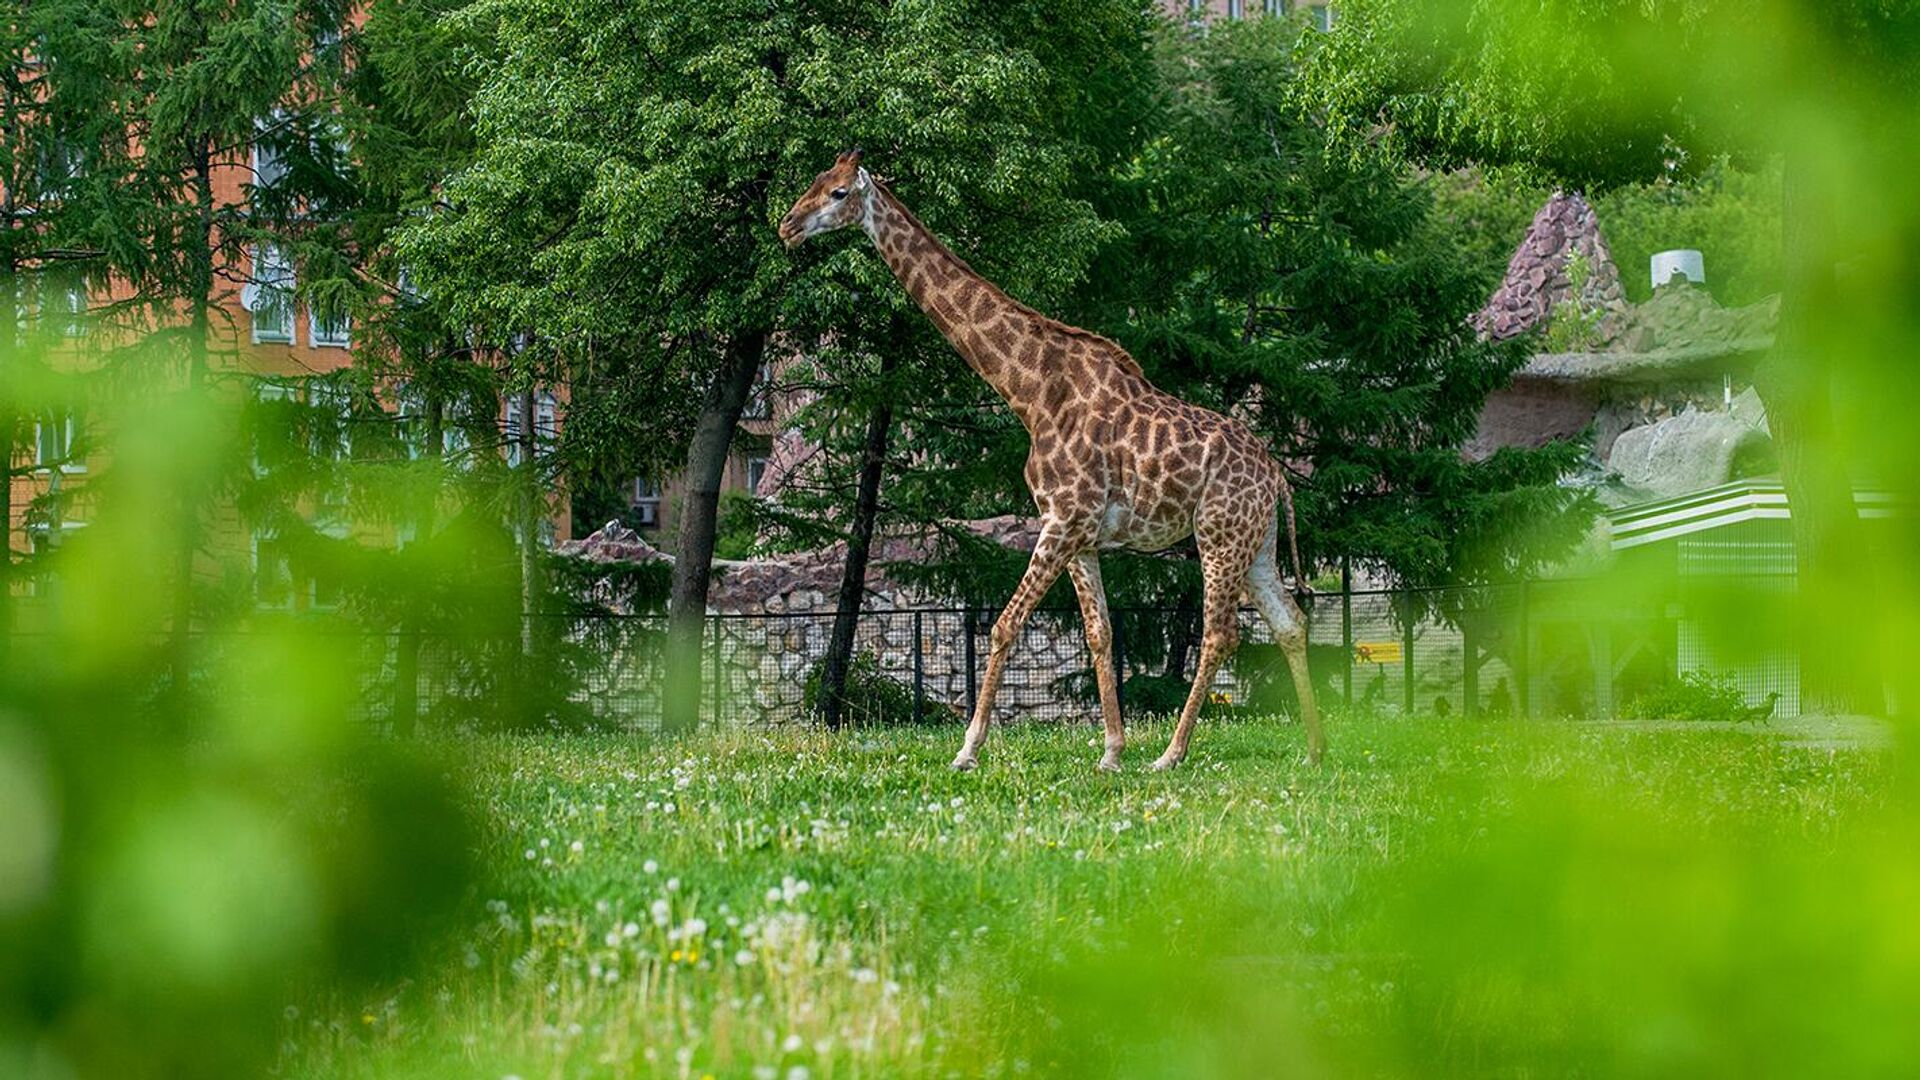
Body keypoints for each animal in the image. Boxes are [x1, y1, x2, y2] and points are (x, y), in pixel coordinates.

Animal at [779, 153, 1320, 772]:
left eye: (838, 193)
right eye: (814, 182)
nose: (787, 227)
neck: (1029, 392)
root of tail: (1276, 476)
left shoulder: (1061, 519)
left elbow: (1005, 625)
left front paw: (968, 749)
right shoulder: (1080, 535)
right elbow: (1099, 634)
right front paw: (1111, 752)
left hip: (1219, 535)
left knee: (1219, 634)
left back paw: (1172, 754)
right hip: (1257, 543)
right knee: (1290, 622)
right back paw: (1315, 749)